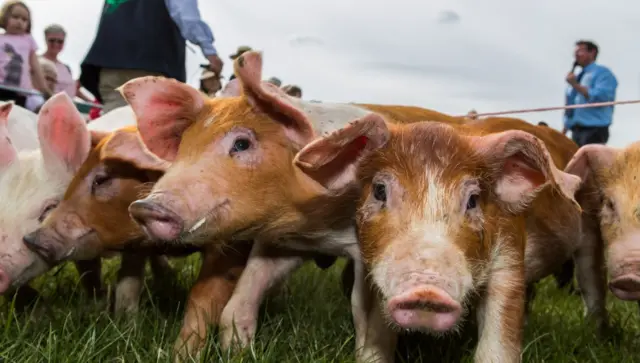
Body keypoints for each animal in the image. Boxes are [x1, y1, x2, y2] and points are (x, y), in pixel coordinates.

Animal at [292, 113, 584, 362]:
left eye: (473, 200)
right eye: (379, 190)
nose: (427, 290)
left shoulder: (509, 257)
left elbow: (497, 345)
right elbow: (376, 339)